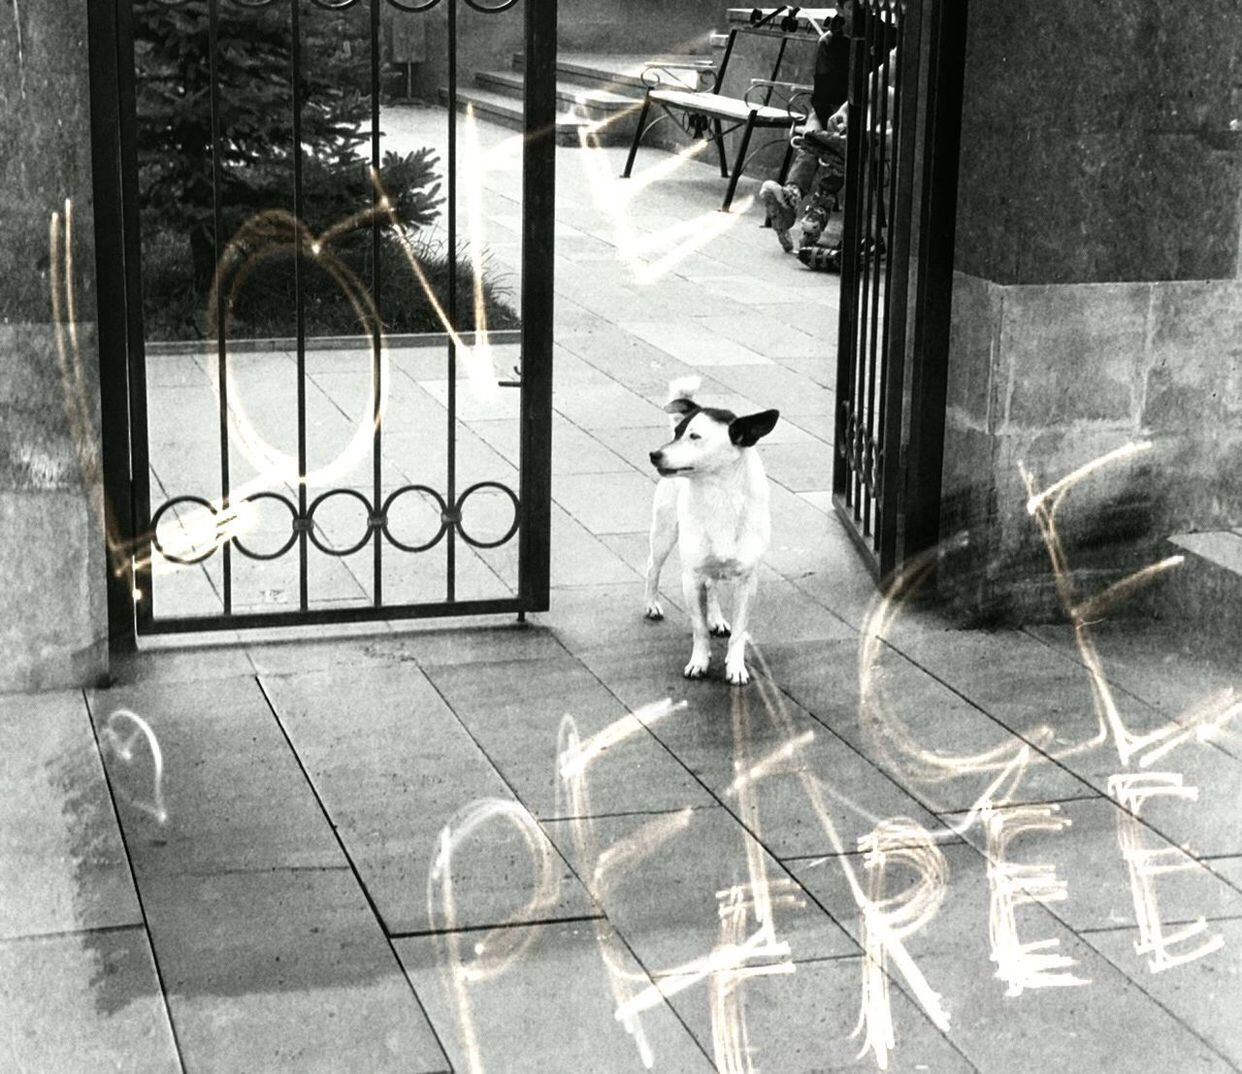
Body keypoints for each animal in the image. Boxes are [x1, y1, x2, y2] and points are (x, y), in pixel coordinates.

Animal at [645, 382, 779, 685]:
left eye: (694, 436)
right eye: (676, 433)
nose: (654, 454)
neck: (719, 494)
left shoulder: (747, 582)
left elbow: (739, 631)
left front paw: (736, 666)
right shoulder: (691, 577)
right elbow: (698, 628)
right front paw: (699, 662)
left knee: (713, 585)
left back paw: (716, 618)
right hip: (664, 533)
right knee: (653, 568)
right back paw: (652, 604)